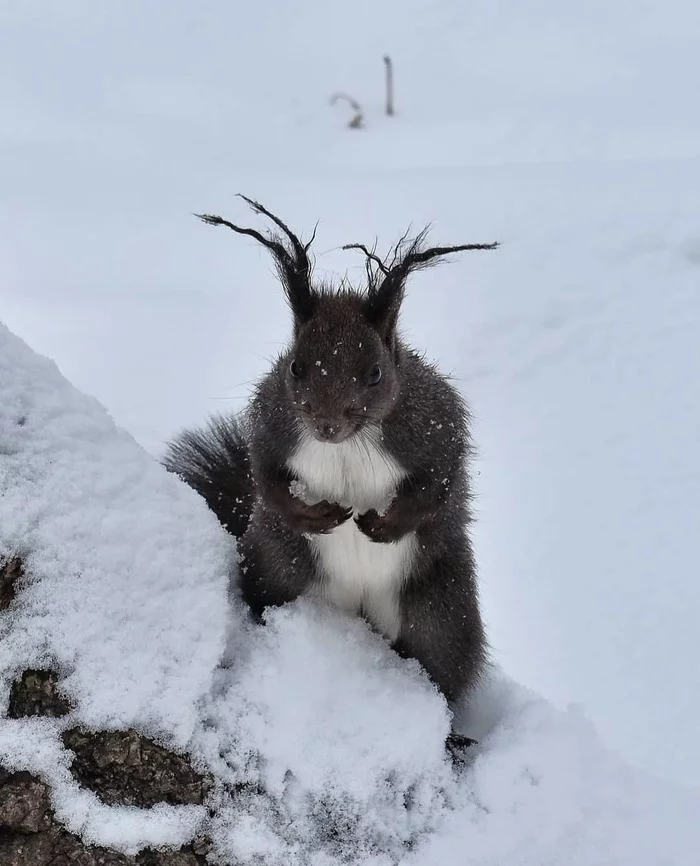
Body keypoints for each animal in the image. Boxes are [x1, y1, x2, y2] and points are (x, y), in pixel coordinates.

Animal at [165, 197, 498, 716]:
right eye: (295, 366)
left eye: (375, 372)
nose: (326, 425)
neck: (348, 445)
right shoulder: (272, 422)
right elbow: (265, 476)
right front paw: (311, 514)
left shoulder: (432, 424)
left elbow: (441, 479)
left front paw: (385, 524)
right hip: (277, 568)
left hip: (440, 611)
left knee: (443, 665)